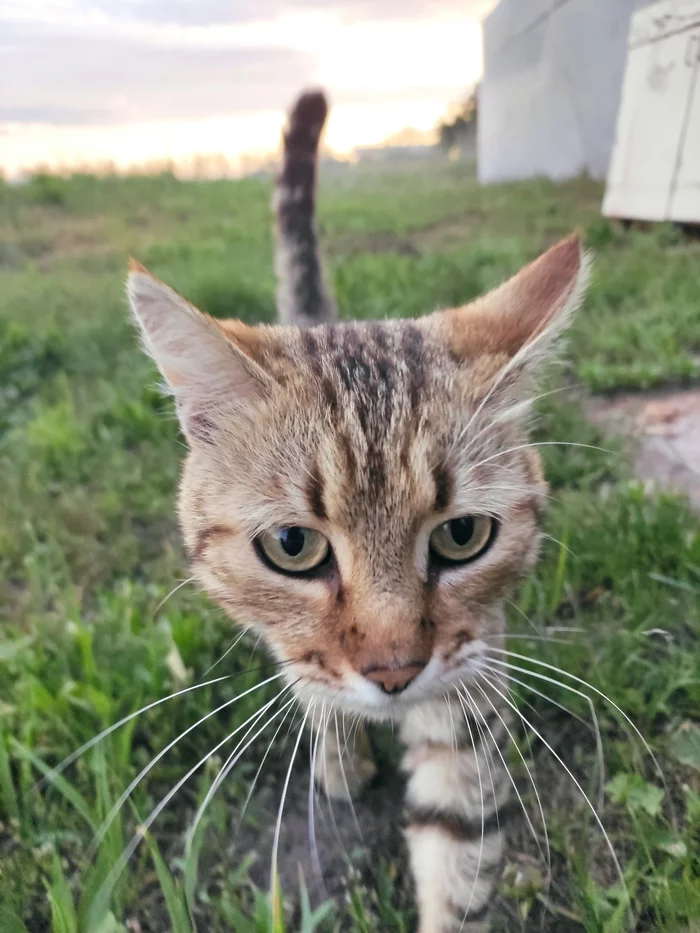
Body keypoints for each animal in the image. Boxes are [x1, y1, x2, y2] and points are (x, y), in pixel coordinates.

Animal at [127, 89, 592, 932]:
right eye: (291, 545)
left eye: (463, 535)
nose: (394, 671)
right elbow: (311, 682)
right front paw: (340, 747)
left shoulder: (470, 690)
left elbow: (457, 864)